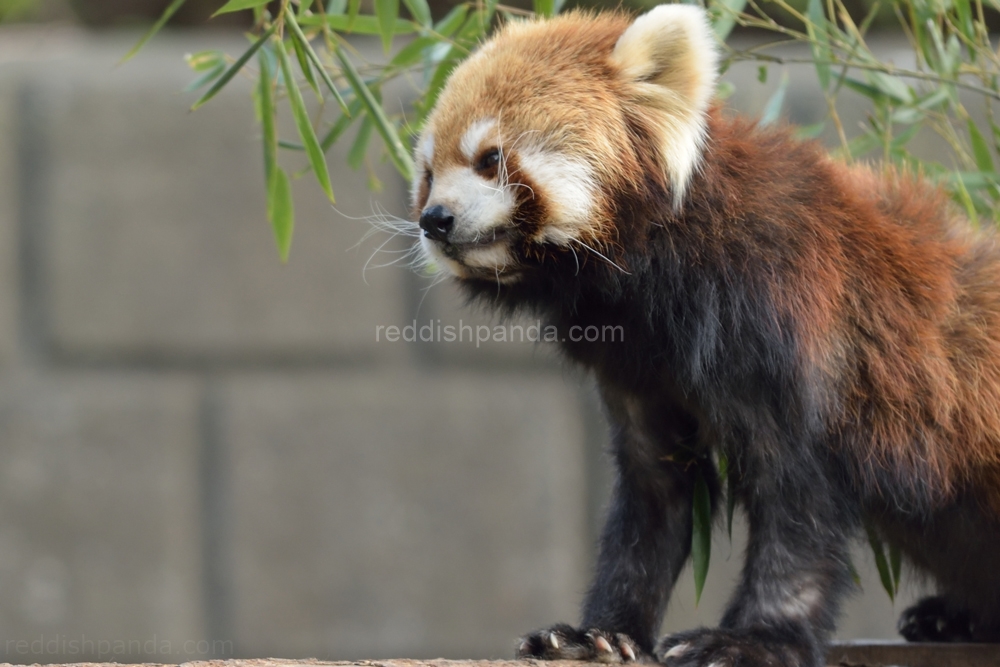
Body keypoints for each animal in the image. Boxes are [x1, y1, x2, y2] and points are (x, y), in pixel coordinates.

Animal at [404, 6, 1000, 667]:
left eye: (490, 158)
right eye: (428, 172)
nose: (435, 220)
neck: (658, 272)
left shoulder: (788, 321)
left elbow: (800, 498)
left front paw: (755, 638)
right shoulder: (637, 362)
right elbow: (655, 494)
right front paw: (597, 634)